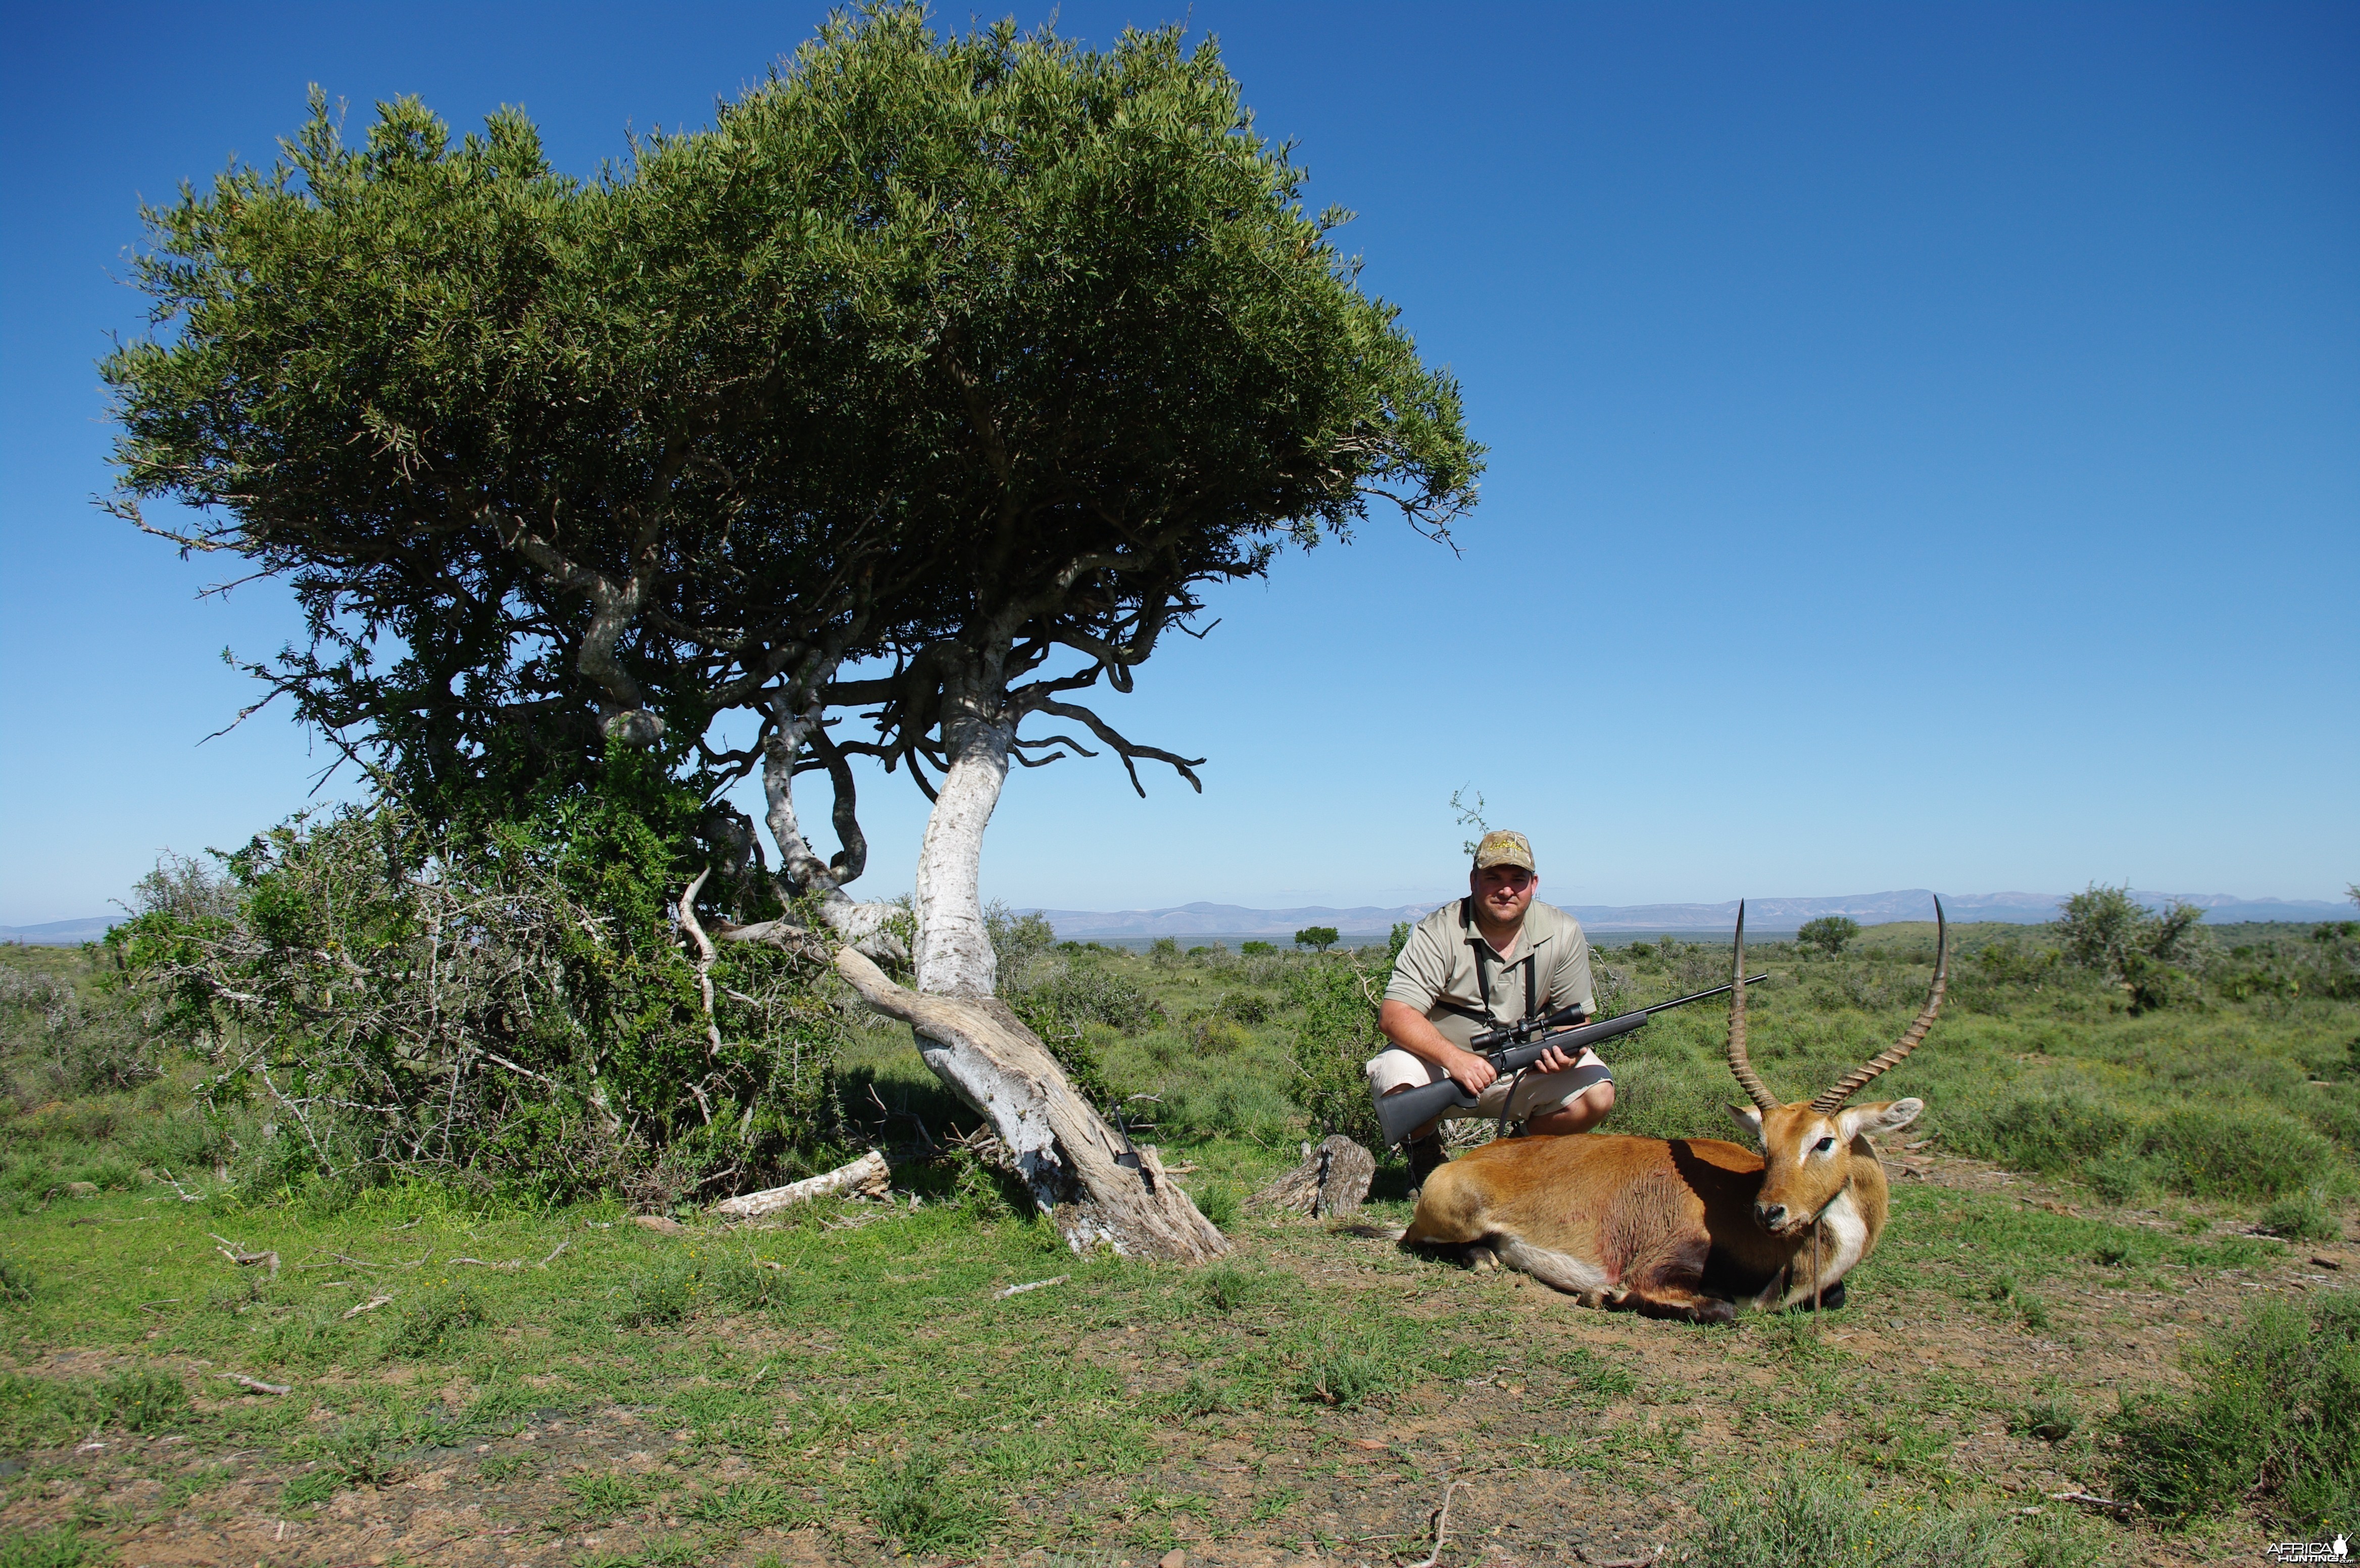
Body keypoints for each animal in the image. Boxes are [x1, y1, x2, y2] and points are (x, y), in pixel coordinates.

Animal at [1378, 893, 1935, 1322]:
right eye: (1764, 1142)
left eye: (1824, 1141)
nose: (1771, 1212)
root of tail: (1464, 1165)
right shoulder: (1658, 1269)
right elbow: (1720, 1307)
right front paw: (1602, 1294)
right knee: (1416, 1238)